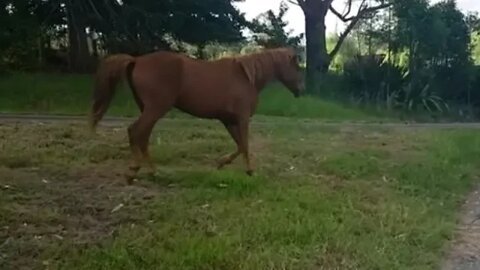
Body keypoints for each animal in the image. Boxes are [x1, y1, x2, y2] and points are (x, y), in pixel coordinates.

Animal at [89, 48, 304, 184]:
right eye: (296, 66)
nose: (301, 90)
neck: (246, 77)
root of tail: (137, 60)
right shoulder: (242, 119)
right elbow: (245, 145)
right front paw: (250, 171)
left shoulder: (228, 120)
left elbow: (240, 145)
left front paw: (222, 163)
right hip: (155, 109)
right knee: (135, 132)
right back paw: (133, 171)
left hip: (148, 109)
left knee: (143, 137)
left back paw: (151, 172)